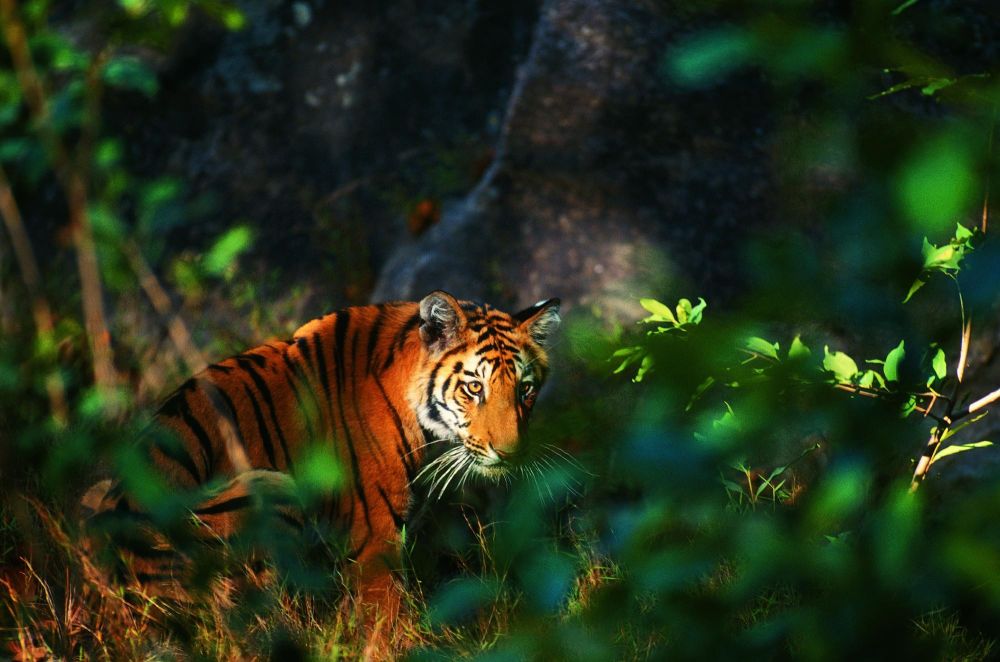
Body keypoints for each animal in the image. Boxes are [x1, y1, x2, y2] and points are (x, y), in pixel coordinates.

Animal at [84, 290, 561, 634]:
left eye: (525, 390)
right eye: (474, 387)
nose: (510, 453)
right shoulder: (375, 538)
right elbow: (384, 619)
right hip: (268, 489)